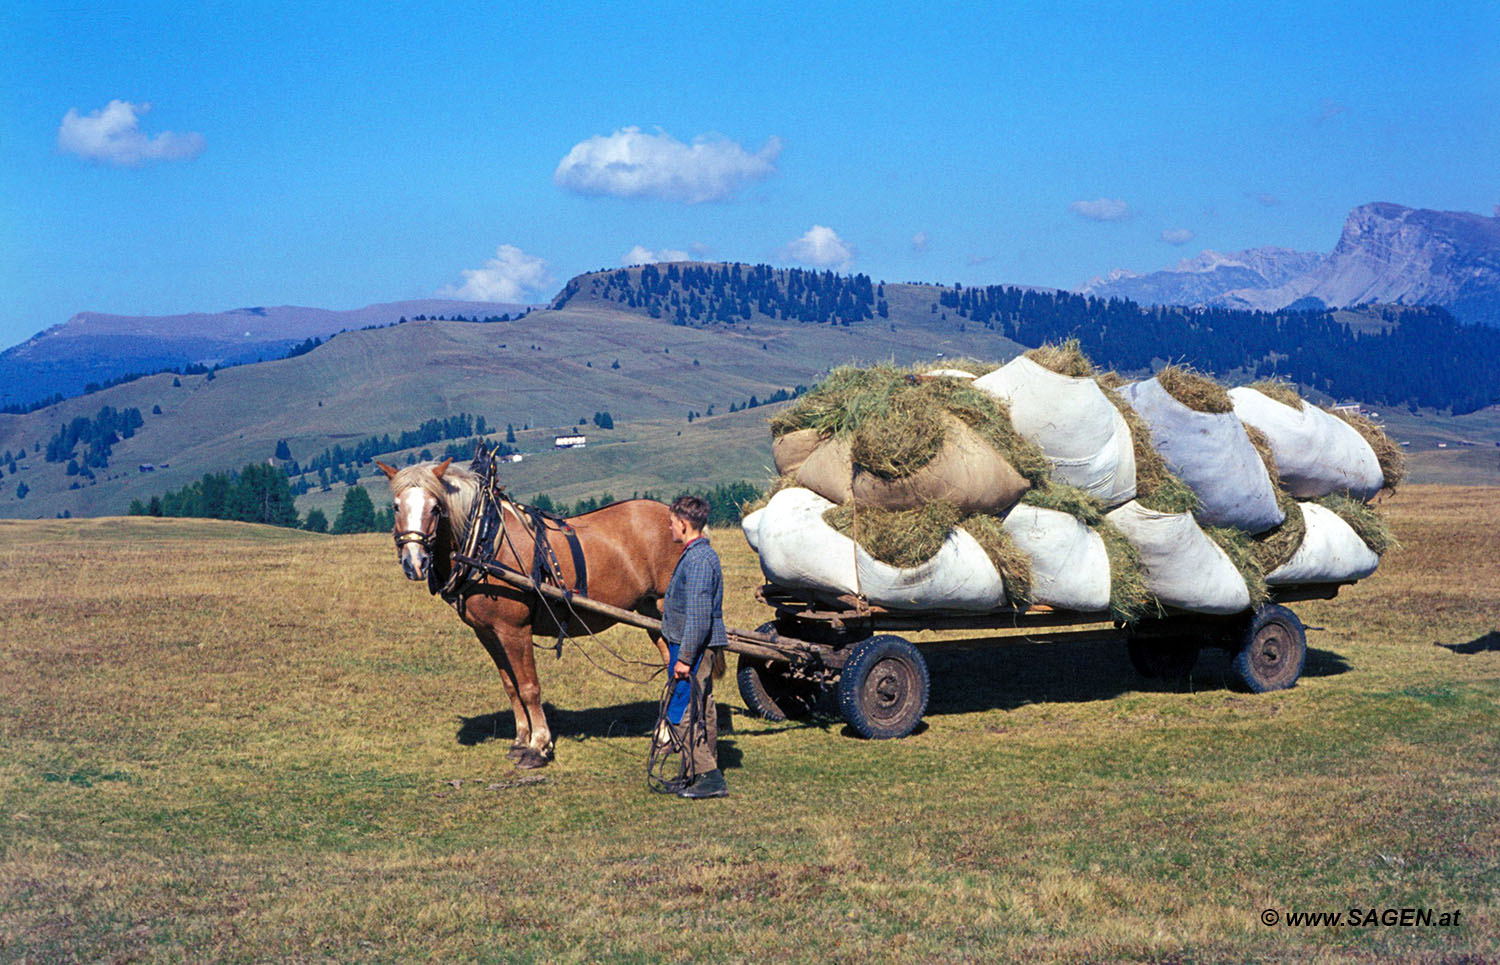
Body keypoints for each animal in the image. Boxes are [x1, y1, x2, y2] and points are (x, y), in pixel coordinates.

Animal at [378, 459, 684, 768]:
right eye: (396, 506)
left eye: (435, 507)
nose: (414, 563)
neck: (484, 541)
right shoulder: (487, 632)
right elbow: (510, 686)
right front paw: (520, 741)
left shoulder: (514, 630)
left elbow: (528, 686)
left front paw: (538, 746)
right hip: (652, 614)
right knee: (671, 665)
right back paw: (665, 737)